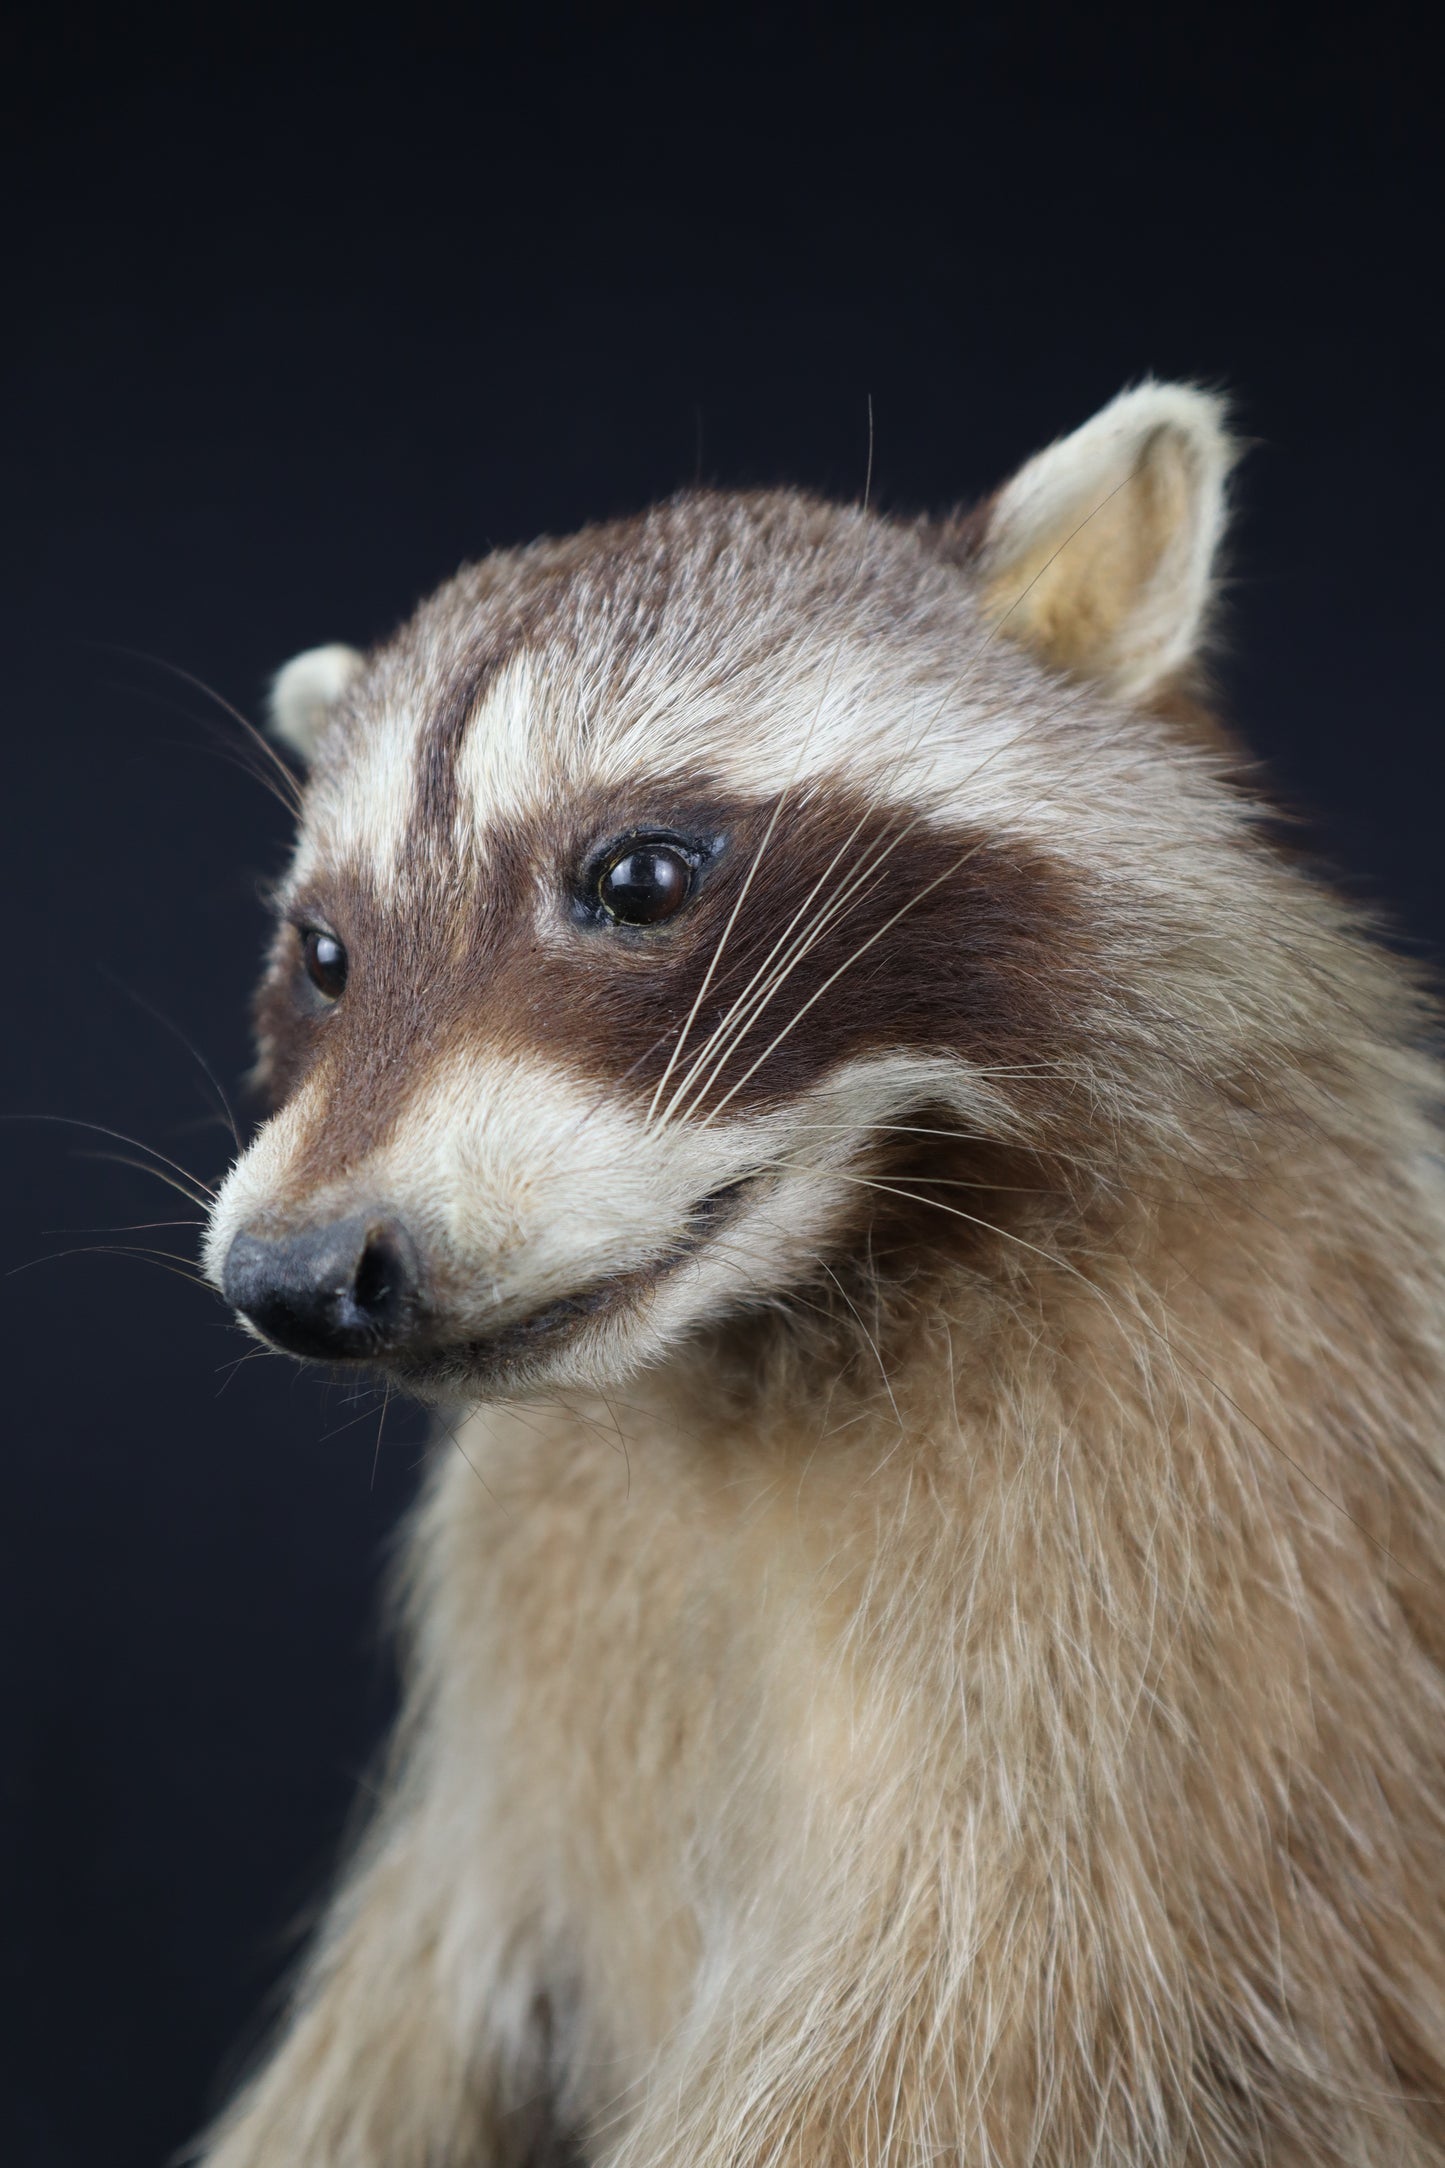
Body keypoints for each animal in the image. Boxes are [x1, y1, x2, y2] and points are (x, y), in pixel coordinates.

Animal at [195, 384, 1445, 2165]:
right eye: (323, 955)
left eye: (639, 879)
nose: (292, 1272)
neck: (767, 1327)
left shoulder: (1205, 1551)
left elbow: (962, 2043)